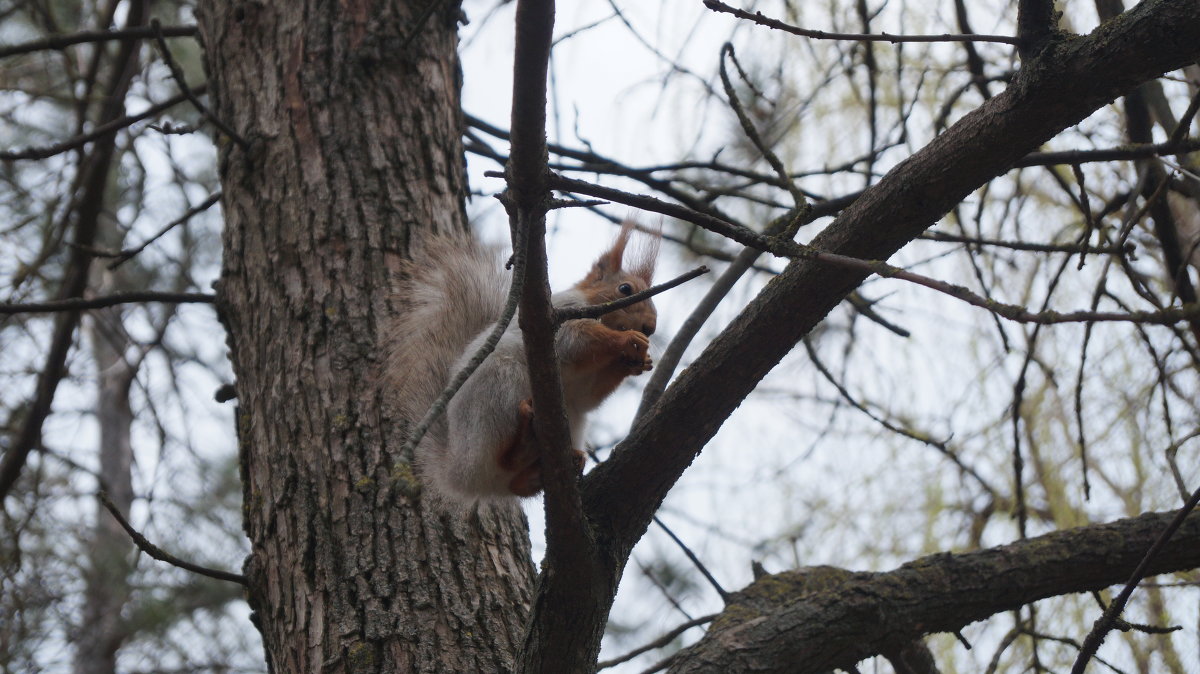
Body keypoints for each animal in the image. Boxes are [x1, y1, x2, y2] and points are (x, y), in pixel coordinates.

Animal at [384, 223, 662, 501]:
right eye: (625, 289)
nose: (650, 328)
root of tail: (460, 472)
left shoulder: (585, 386)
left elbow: (588, 397)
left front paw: (638, 362)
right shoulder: (561, 318)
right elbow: (577, 340)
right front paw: (627, 339)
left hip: (570, 419)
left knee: (517, 484)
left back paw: (547, 468)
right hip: (499, 391)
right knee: (504, 457)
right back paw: (524, 444)